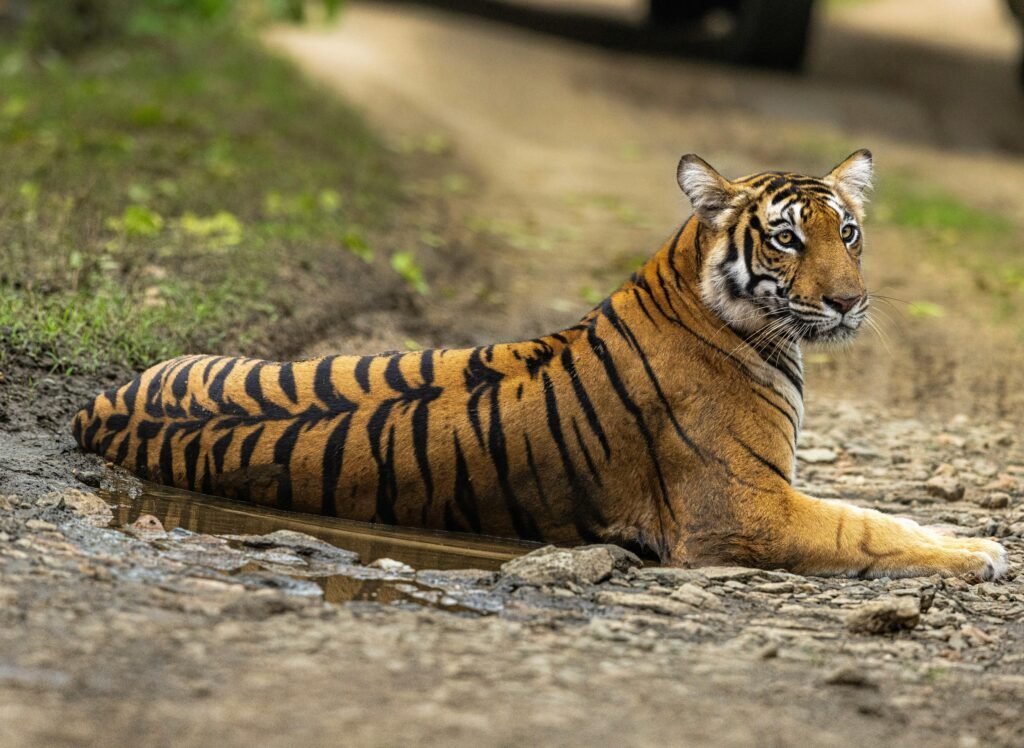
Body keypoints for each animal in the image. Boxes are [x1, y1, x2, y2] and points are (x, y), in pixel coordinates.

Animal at [72, 150, 1008, 579]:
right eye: (785, 239)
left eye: (847, 232)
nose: (850, 302)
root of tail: (95, 407)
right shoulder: (745, 512)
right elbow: (862, 529)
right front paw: (981, 553)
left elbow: (873, 511)